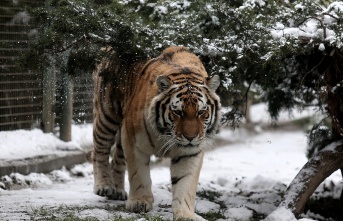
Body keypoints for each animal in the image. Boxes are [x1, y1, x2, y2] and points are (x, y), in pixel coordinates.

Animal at [91, 45, 222, 220]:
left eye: (201, 112)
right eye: (178, 112)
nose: (190, 137)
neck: (166, 134)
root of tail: (108, 46)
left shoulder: (190, 152)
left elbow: (185, 183)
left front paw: (185, 214)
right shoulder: (133, 141)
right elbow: (138, 174)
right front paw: (139, 202)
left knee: (117, 159)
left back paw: (118, 191)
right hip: (107, 115)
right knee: (99, 150)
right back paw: (104, 186)